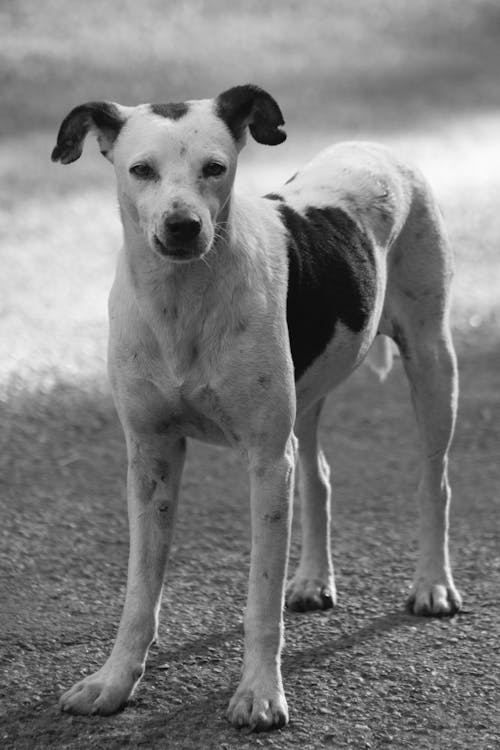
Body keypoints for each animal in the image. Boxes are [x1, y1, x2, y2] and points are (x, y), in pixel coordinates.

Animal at [50, 85, 460, 732]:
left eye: (215, 167)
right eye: (141, 170)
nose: (183, 226)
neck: (182, 302)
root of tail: (376, 149)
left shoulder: (266, 462)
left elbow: (260, 600)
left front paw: (260, 693)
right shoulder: (151, 459)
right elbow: (140, 594)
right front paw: (114, 683)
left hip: (432, 361)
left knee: (433, 481)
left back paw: (433, 585)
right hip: (308, 399)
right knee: (318, 475)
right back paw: (314, 578)